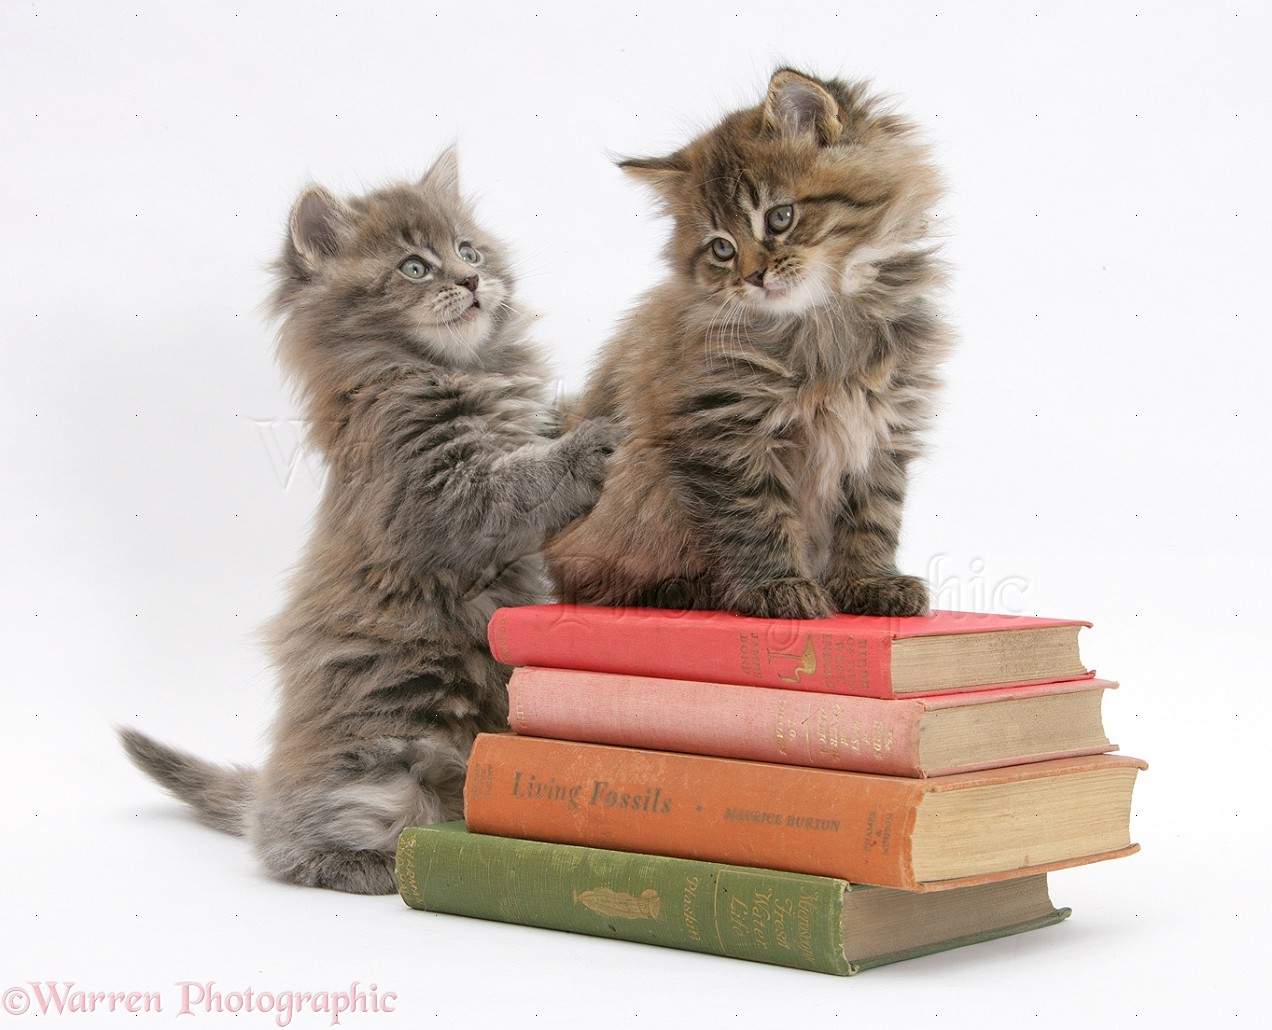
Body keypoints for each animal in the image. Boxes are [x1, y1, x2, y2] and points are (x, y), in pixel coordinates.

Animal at [121, 148, 618, 895]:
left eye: (468, 250)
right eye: (414, 267)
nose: (472, 280)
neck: (453, 371)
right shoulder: (438, 498)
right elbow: (525, 481)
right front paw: (593, 444)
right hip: (378, 766)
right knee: (287, 843)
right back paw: (371, 865)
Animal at [546, 72, 956, 623]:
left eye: (780, 217)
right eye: (722, 248)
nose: (753, 277)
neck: (823, 323)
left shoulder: (882, 428)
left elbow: (873, 519)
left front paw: (869, 582)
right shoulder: (726, 431)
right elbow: (756, 519)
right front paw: (779, 587)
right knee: (597, 583)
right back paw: (692, 590)